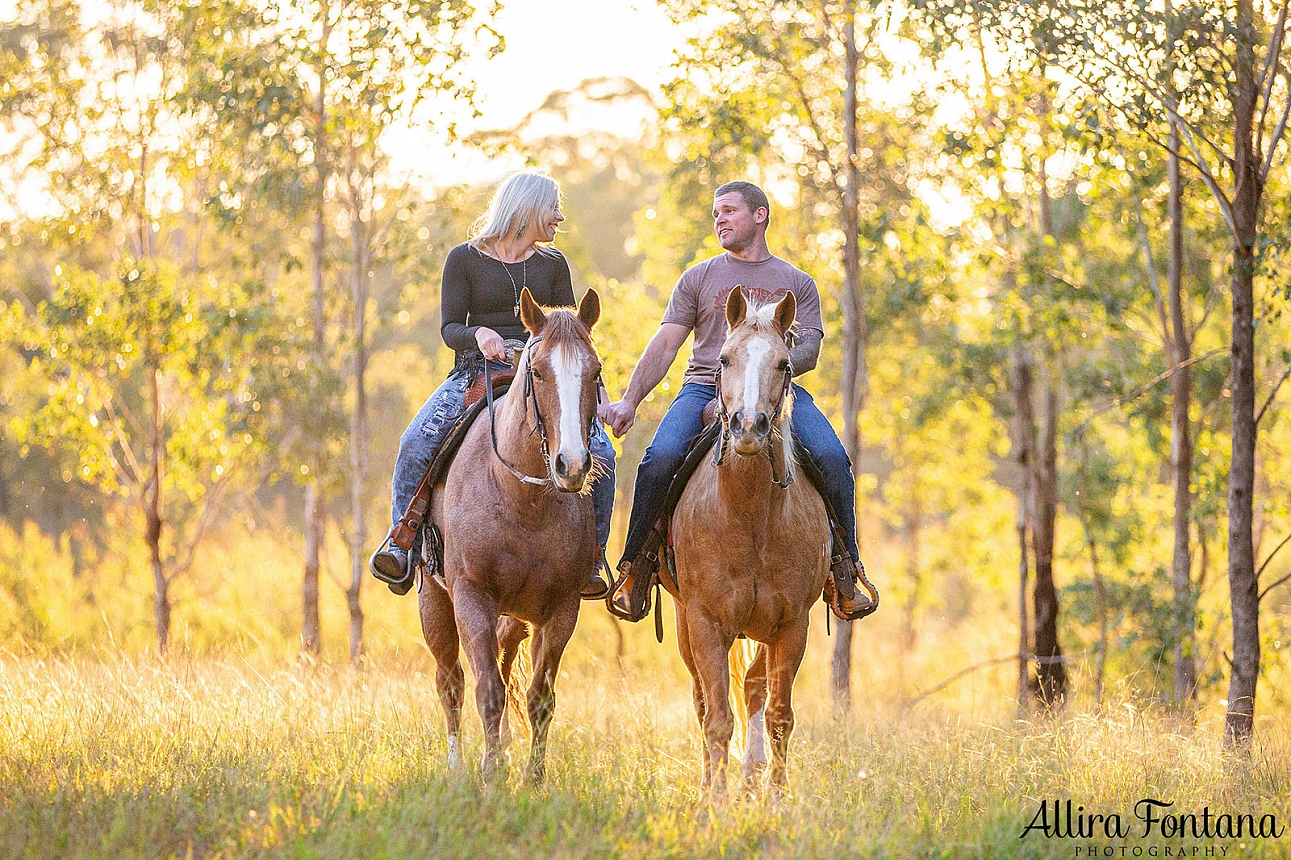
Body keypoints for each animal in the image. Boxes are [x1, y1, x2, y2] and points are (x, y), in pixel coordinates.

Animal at [423, 284, 604, 779]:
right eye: (538, 372)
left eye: (595, 371)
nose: (572, 466)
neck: (522, 500)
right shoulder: (472, 597)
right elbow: (486, 690)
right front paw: (489, 774)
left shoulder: (561, 609)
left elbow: (540, 696)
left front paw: (532, 779)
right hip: (434, 600)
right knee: (451, 681)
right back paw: (458, 767)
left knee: (504, 660)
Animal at [666, 287, 826, 795]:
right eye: (724, 358)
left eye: (784, 363)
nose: (748, 427)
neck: (749, 517)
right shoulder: (705, 622)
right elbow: (716, 719)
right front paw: (713, 802)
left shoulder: (793, 624)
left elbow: (778, 715)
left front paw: (774, 798)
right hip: (685, 624)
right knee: (703, 700)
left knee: (754, 689)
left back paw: (752, 776)